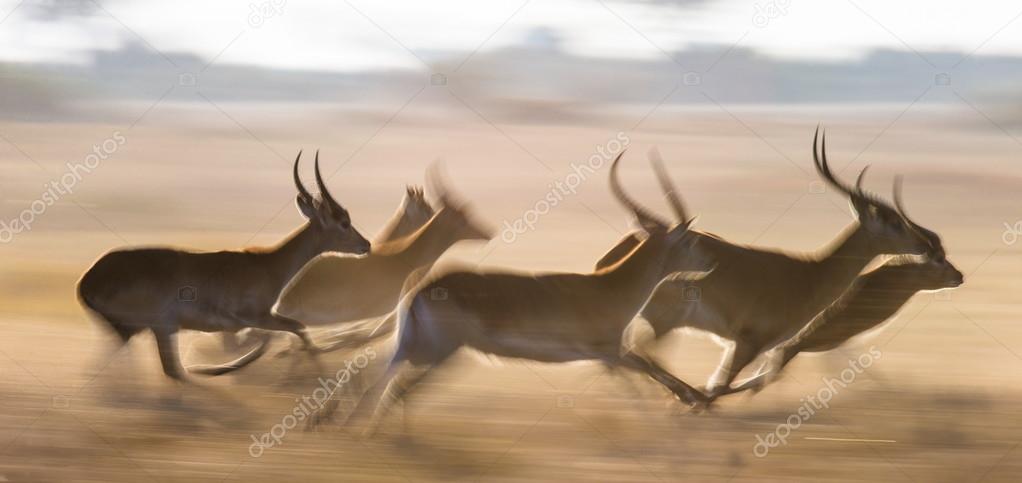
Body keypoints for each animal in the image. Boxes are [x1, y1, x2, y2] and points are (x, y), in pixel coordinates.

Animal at [77, 151, 372, 379]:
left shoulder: (242, 325)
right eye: (343, 222)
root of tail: (87, 280)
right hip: (161, 326)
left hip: (135, 331)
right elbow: (296, 329)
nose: (366, 245)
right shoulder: (250, 318)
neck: (267, 265)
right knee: (171, 371)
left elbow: (278, 336)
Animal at [339, 151, 715, 432]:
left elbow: (650, 372)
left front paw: (694, 402)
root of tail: (422, 289)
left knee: (383, 379)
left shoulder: (610, 356)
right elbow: (649, 374)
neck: (610, 287)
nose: (709, 264)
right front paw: (689, 407)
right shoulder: (610, 354)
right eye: (689, 241)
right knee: (392, 386)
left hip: (418, 346)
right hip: (435, 351)